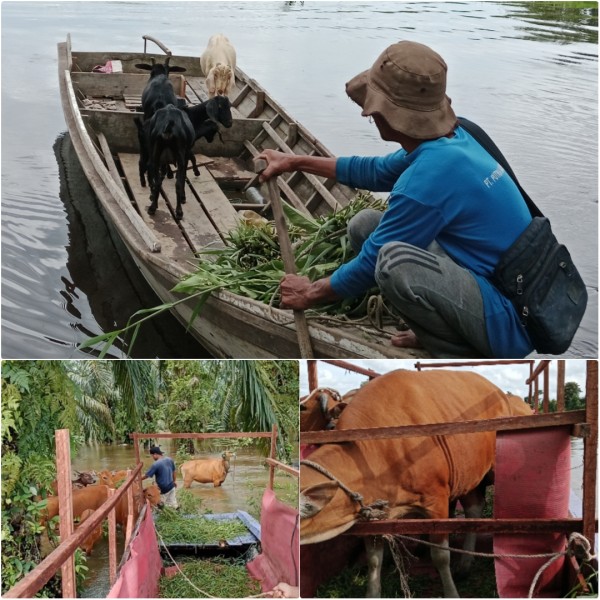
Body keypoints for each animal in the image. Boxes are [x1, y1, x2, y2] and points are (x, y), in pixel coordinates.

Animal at [300, 368, 536, 596]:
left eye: (303, 407)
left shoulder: (437, 502)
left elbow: (440, 556)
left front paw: (451, 593)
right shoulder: (373, 515)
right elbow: (374, 561)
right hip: (469, 473)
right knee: (474, 507)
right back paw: (464, 565)